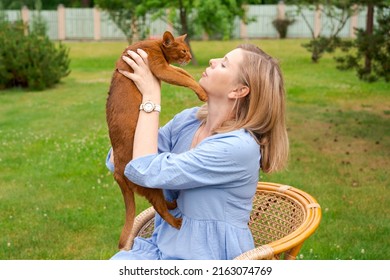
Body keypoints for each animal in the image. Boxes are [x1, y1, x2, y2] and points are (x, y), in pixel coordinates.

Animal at [105, 31, 206, 249]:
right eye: (183, 50)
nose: (190, 57)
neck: (155, 45)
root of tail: (117, 171)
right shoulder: (160, 68)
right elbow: (183, 77)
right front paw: (202, 92)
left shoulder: (167, 66)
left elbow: (184, 74)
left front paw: (200, 83)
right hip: (149, 185)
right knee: (159, 207)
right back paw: (175, 221)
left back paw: (173, 204)